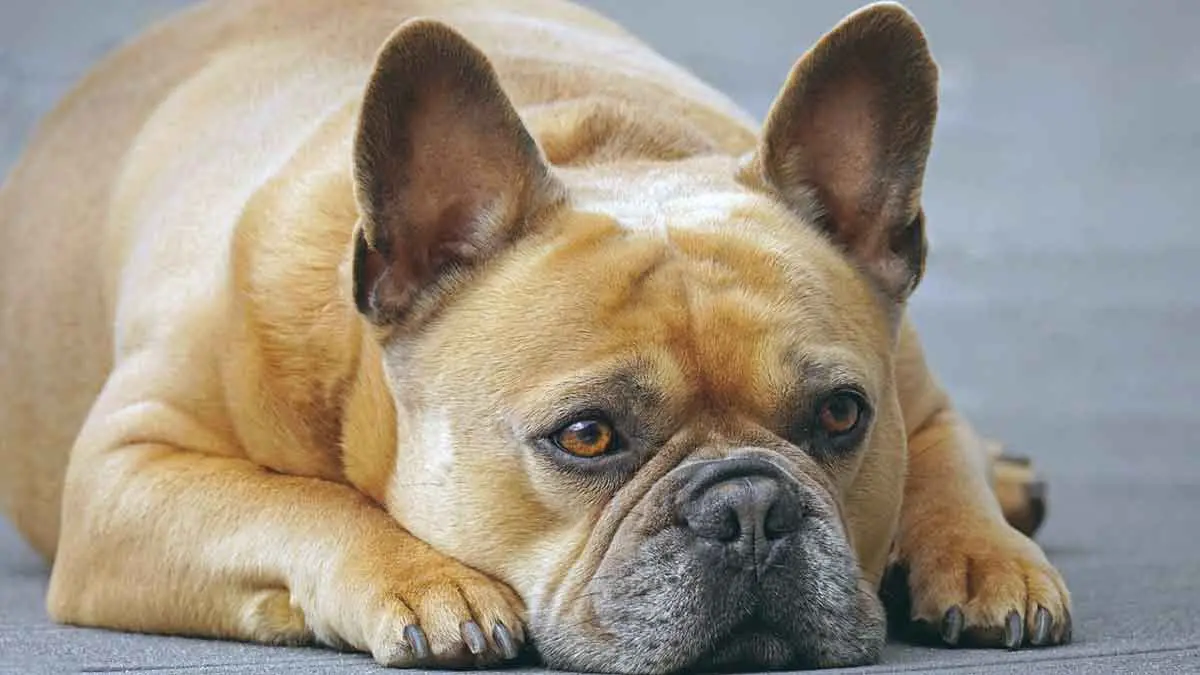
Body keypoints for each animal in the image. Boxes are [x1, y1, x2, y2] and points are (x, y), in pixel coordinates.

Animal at [0, 0, 1070, 667]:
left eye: (842, 416)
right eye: (586, 436)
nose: (751, 506)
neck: (595, 141)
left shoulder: (916, 395)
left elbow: (945, 464)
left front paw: (989, 555)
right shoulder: (126, 472)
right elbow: (299, 503)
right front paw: (429, 579)